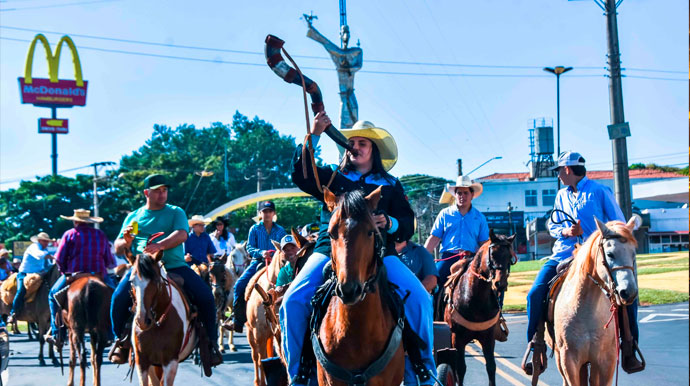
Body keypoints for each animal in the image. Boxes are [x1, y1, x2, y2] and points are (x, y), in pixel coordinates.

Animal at [444, 231, 512, 386]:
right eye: (492, 254)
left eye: (510, 257)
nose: (500, 284)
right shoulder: (457, 339)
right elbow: (460, 368)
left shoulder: (488, 338)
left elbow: (491, 367)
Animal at [544, 217, 636, 386]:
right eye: (610, 254)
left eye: (633, 253)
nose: (629, 292)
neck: (586, 310)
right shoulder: (568, 360)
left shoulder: (607, 360)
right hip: (562, 358)